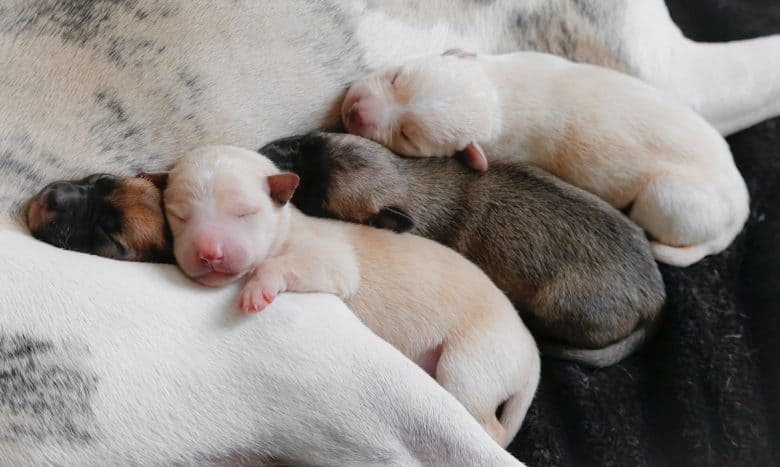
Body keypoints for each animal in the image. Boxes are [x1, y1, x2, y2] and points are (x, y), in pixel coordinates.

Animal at [163, 146, 544, 450]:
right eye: (179, 216)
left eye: (245, 212)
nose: (209, 253)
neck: (287, 227)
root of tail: (532, 352)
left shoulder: (331, 260)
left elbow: (290, 265)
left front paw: (259, 286)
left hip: (473, 360)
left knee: (488, 423)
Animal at [260, 133, 664, 370]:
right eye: (308, 141)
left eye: (317, 198)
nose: (267, 151)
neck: (410, 183)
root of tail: (657, 300)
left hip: (559, 303)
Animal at [344, 49, 752, 268]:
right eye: (397, 77)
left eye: (407, 136)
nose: (354, 111)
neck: (497, 95)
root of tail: (740, 214)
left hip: (669, 199)